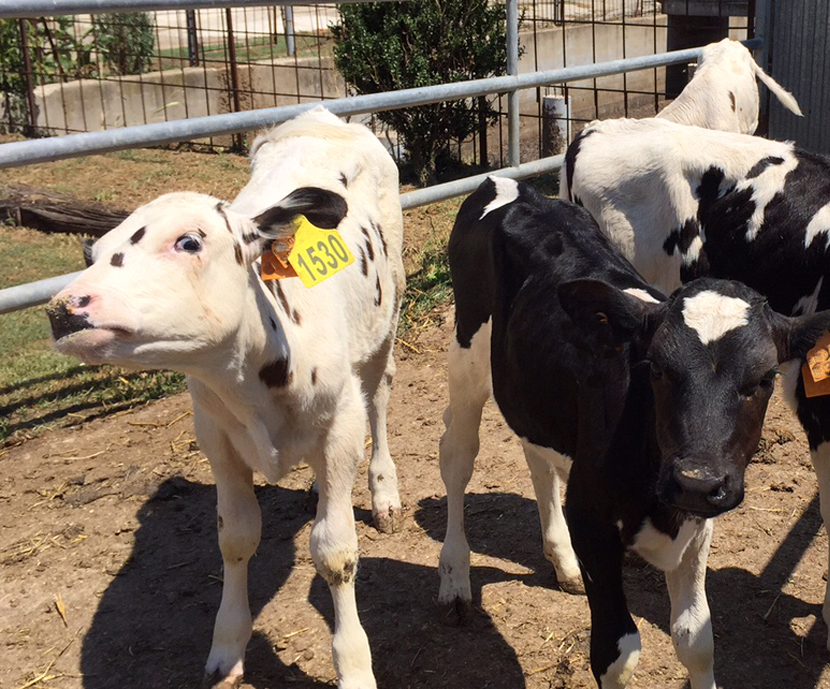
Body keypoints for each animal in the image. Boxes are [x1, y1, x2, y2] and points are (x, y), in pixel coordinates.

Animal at [47, 107, 404, 688]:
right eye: (94, 253)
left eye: (189, 241)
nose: (63, 310)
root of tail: (323, 114)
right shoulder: (216, 436)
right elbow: (235, 538)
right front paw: (227, 647)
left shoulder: (340, 425)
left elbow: (335, 552)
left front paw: (354, 665)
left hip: (385, 321)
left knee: (380, 397)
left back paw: (383, 491)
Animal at [442, 177, 830, 688]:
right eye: (657, 368)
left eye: (764, 378)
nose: (697, 480)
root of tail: (508, 185)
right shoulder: (591, 518)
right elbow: (616, 652)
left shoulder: (697, 521)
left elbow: (696, 640)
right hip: (466, 361)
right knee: (457, 457)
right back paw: (454, 578)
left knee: (536, 458)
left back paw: (561, 561)